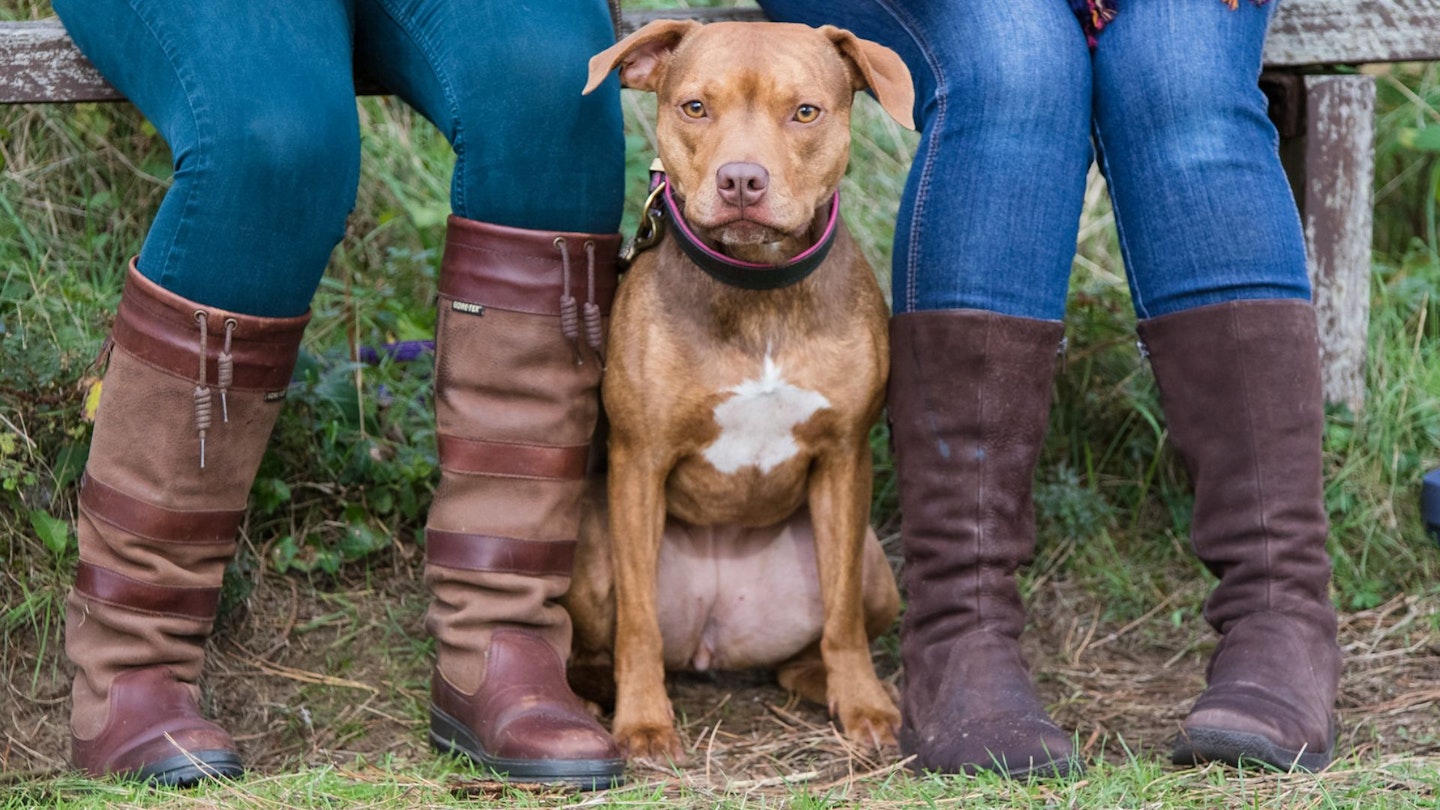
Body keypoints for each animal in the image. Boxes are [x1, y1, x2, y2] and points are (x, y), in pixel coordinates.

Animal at [570, 22, 915, 760]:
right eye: (695, 107)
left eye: (806, 112)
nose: (741, 179)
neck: (758, 288)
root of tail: (712, 639)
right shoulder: (639, 462)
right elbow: (638, 623)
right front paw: (644, 723)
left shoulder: (844, 457)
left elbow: (842, 615)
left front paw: (864, 704)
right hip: (592, 547)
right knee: (602, 642)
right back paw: (591, 697)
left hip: (876, 566)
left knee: (808, 648)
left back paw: (829, 686)